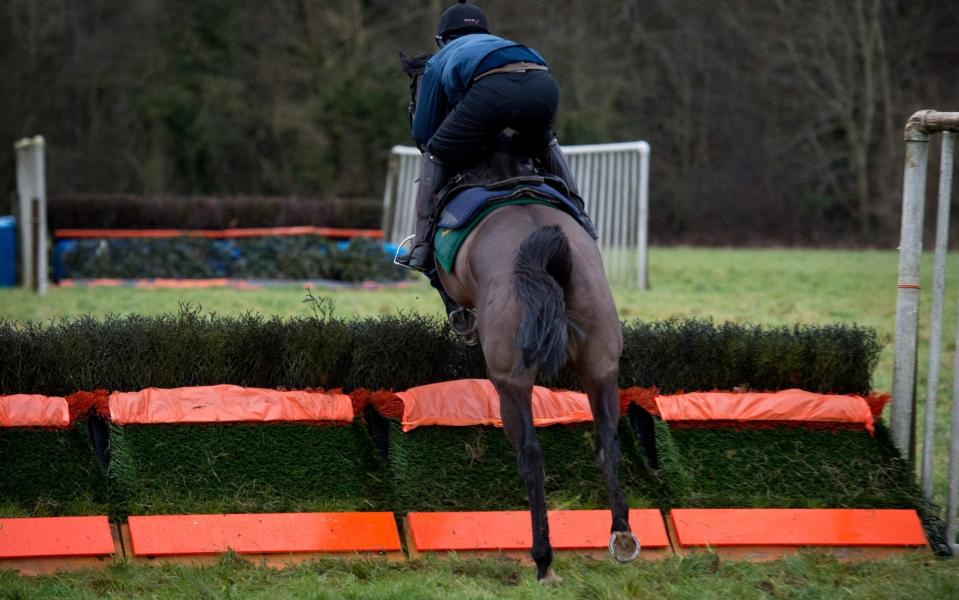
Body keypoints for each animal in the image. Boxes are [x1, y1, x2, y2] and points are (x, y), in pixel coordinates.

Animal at [402, 52, 640, 580]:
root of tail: (547, 253)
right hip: (601, 364)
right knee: (607, 440)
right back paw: (621, 535)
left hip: (510, 377)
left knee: (530, 453)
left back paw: (543, 557)